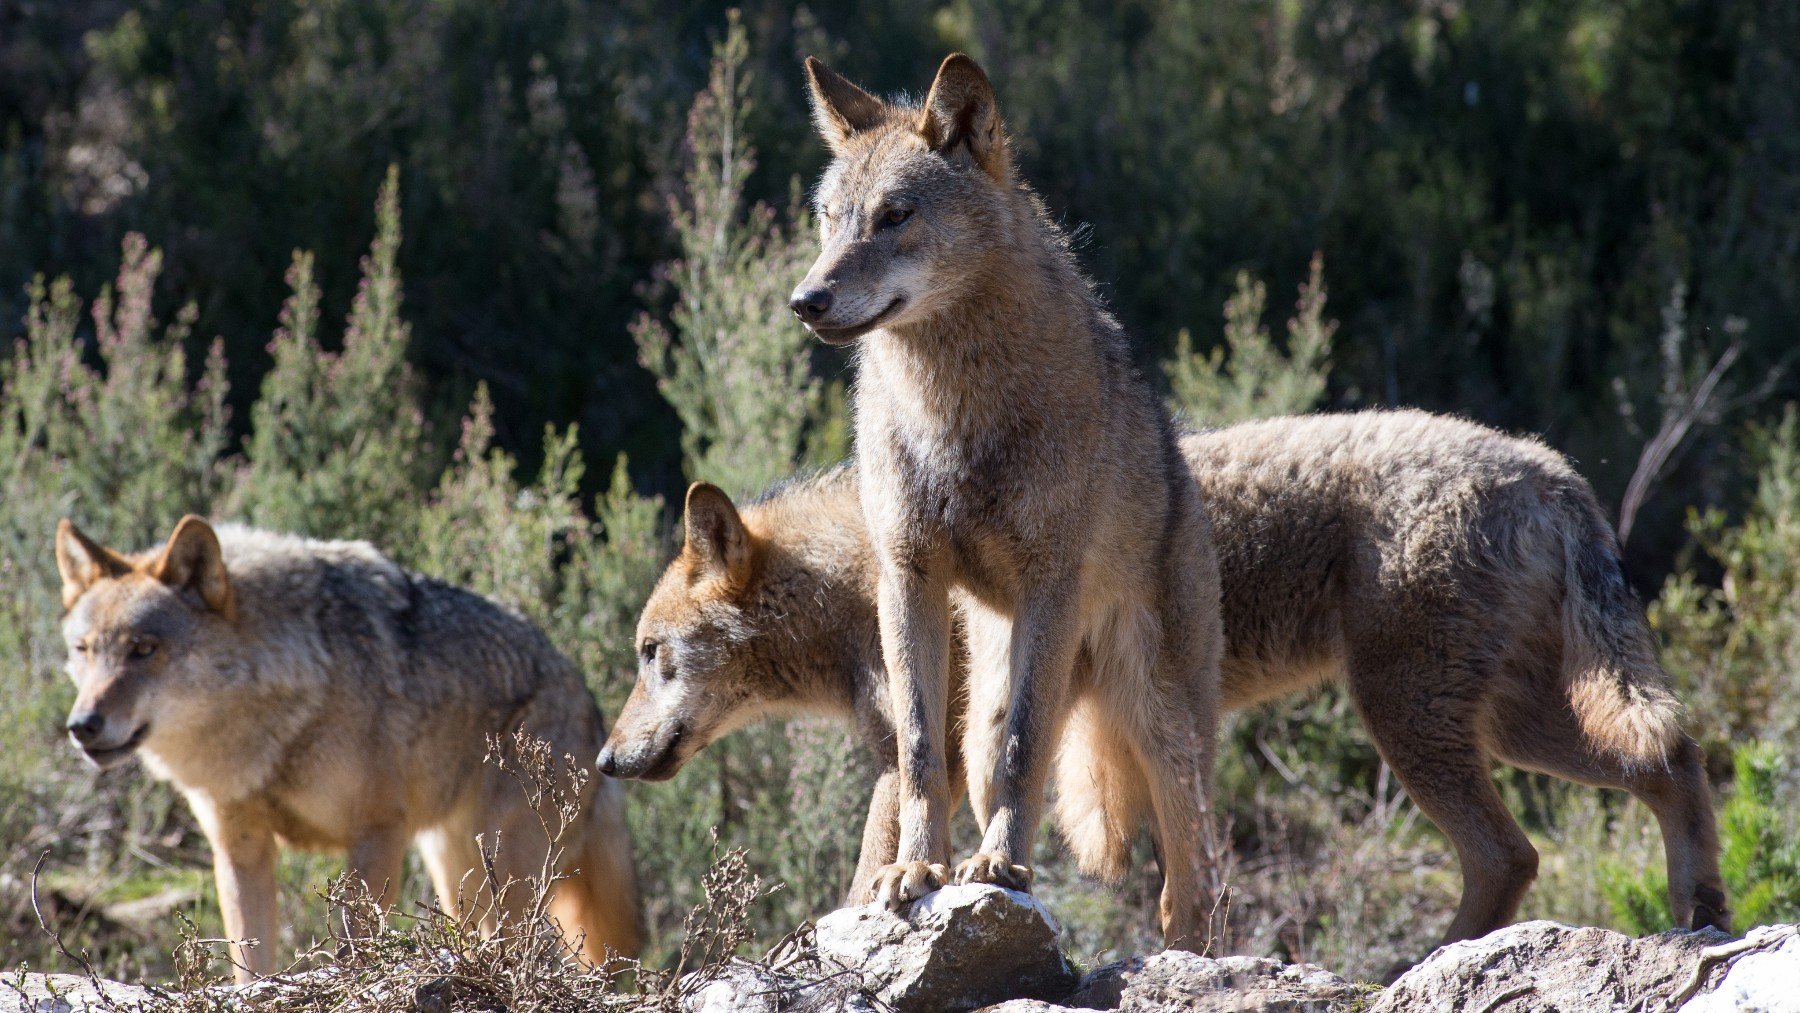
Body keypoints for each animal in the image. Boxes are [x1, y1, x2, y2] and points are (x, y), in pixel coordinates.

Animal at [56, 518, 644, 978]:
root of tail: (588, 698)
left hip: (508, 886)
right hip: (459, 881)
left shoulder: (377, 835)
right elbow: (250, 963)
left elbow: (354, 950)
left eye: (144, 649)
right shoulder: (240, 850)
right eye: (84, 651)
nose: (82, 725)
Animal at [788, 51, 1224, 950]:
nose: (805, 302)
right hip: (990, 697)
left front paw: (997, 868)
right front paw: (916, 870)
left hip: (1163, 731)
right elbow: (919, 754)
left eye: (895, 216)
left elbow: (1029, 749)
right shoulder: (907, 579)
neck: (952, 411)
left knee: (1190, 890)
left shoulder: (1050, 581)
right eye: (829, 219)